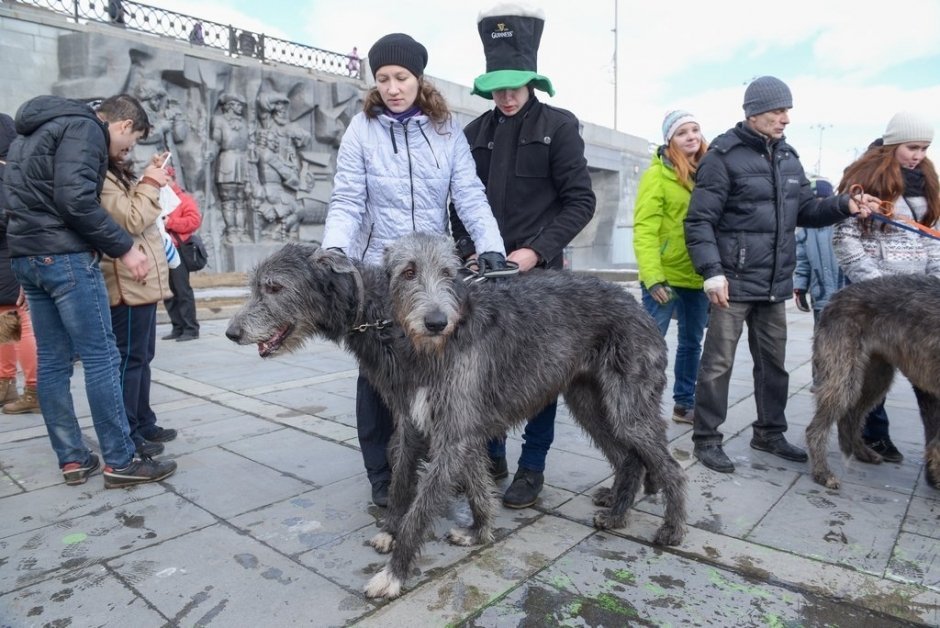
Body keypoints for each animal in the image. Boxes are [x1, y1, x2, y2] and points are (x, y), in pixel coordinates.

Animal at [225, 234, 688, 600]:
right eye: (256, 287)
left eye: (275, 287)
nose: (231, 333)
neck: (390, 323)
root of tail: (640, 306)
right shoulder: (420, 422)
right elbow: (423, 481)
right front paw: (467, 530)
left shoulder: (454, 425)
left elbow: (424, 504)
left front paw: (395, 572)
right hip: (588, 400)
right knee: (628, 457)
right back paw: (617, 510)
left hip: (626, 404)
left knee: (668, 464)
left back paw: (671, 530)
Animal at [804, 274, 940, 490]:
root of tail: (835, 296)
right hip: (843, 372)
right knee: (817, 427)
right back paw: (822, 472)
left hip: (876, 375)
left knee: (852, 416)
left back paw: (862, 452)